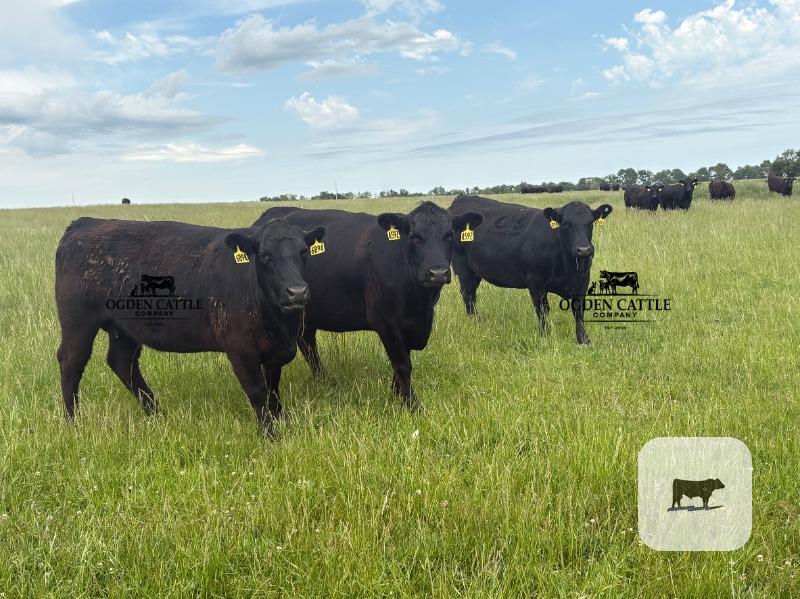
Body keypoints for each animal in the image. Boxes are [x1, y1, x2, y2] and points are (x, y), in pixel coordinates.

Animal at [55, 217, 325, 437]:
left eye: (303, 252)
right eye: (265, 255)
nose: (297, 291)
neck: (279, 324)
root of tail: (84, 223)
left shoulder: (274, 349)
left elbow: (274, 387)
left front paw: (282, 420)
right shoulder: (240, 349)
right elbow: (258, 390)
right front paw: (270, 435)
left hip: (124, 329)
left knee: (122, 363)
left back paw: (156, 413)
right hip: (78, 321)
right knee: (72, 361)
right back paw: (72, 422)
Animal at [253, 202, 483, 410]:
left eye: (449, 235)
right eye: (415, 237)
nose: (437, 272)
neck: (420, 303)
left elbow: (403, 359)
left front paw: (396, 393)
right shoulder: (385, 320)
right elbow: (402, 363)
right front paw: (411, 405)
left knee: (308, 344)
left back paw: (324, 379)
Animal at [448, 195, 612, 344]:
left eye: (590, 223)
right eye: (566, 224)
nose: (583, 250)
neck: (568, 267)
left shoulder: (582, 281)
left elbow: (578, 312)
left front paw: (583, 340)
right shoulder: (536, 283)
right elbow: (542, 311)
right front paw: (545, 336)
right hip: (463, 269)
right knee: (468, 295)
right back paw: (475, 323)